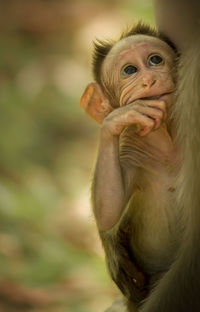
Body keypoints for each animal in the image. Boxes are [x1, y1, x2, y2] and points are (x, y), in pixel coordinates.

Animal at [79, 23, 178, 310]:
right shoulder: (130, 153)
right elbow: (109, 208)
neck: (166, 141)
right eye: (130, 70)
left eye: (155, 60)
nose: (149, 79)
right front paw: (116, 120)